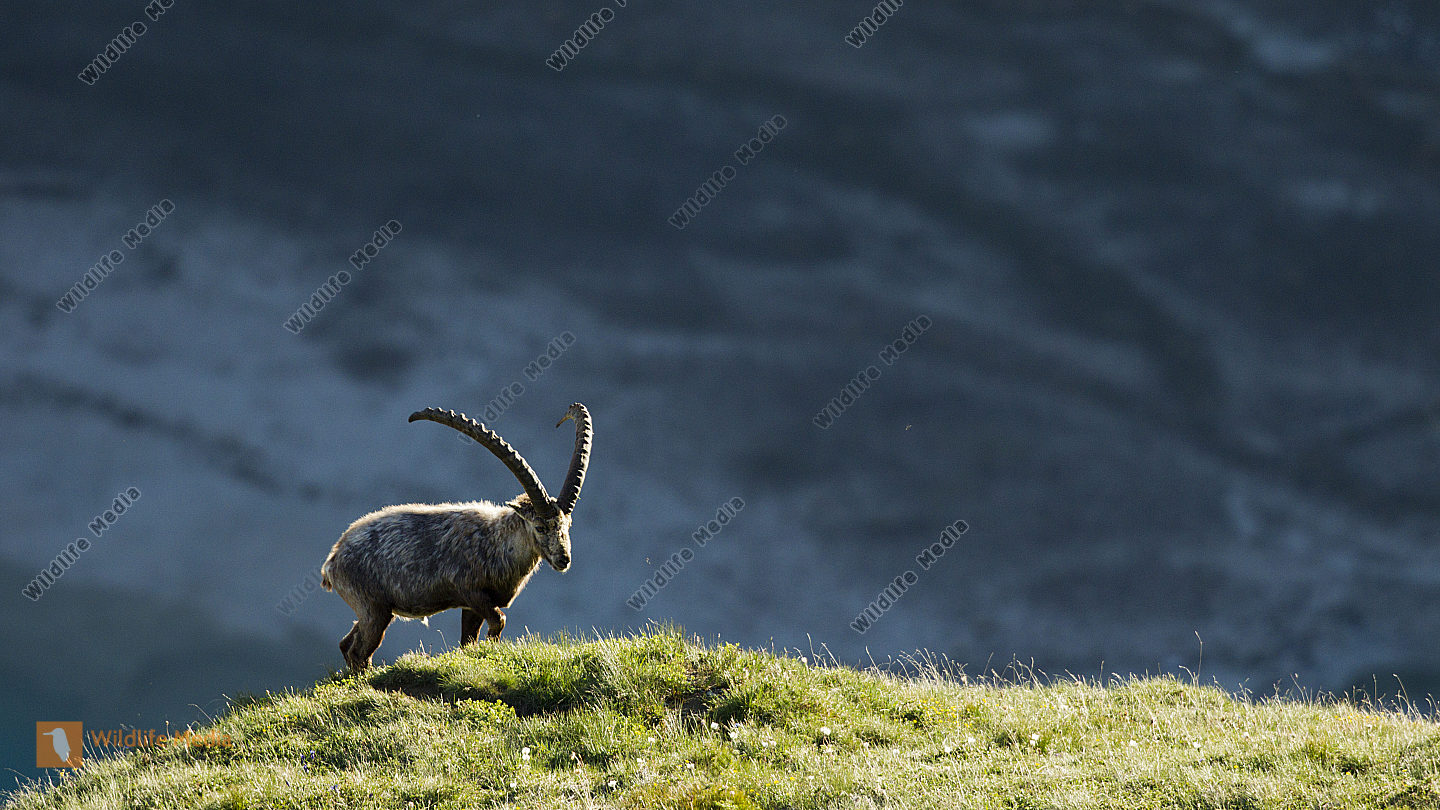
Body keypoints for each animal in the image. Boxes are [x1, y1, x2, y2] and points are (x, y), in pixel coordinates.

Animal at [321, 403, 592, 671]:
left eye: (567, 524)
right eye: (540, 527)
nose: (564, 559)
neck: (497, 543)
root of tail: (332, 561)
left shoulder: (471, 607)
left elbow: (468, 641)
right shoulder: (471, 592)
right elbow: (499, 620)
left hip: (375, 610)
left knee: (346, 644)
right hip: (373, 609)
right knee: (359, 652)